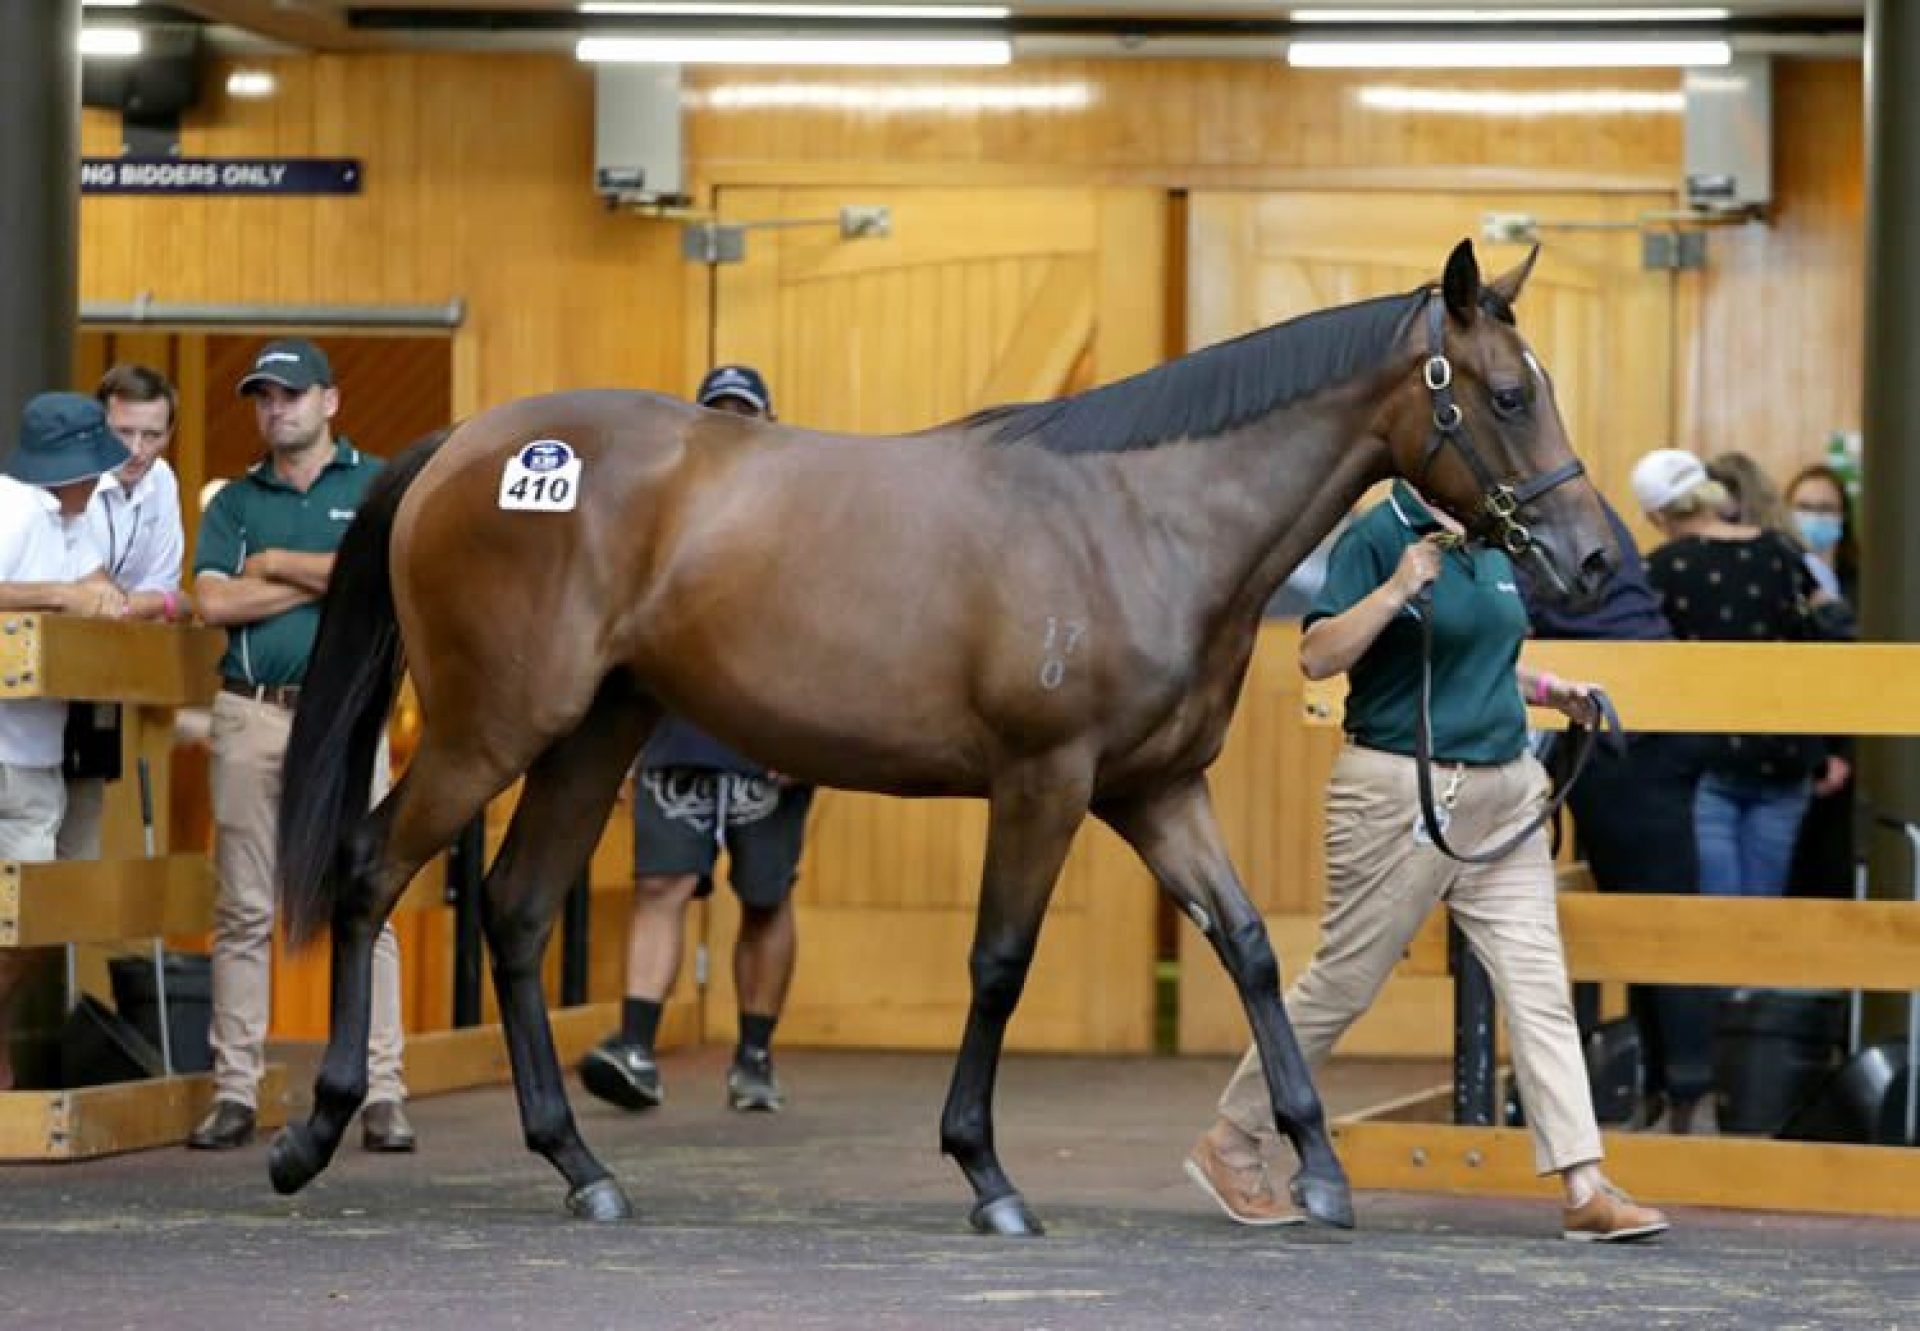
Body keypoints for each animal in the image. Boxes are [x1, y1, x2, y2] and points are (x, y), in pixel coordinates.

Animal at [270, 239, 1620, 1236]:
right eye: (1509, 395)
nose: (1598, 558)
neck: (1142, 517)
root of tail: (466, 448)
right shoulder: (1046, 782)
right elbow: (1000, 962)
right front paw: (987, 1173)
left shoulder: (1157, 789)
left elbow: (1244, 944)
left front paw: (1317, 1165)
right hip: (490, 728)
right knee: (372, 871)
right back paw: (313, 1131)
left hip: (592, 734)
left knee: (514, 908)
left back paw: (581, 1164)